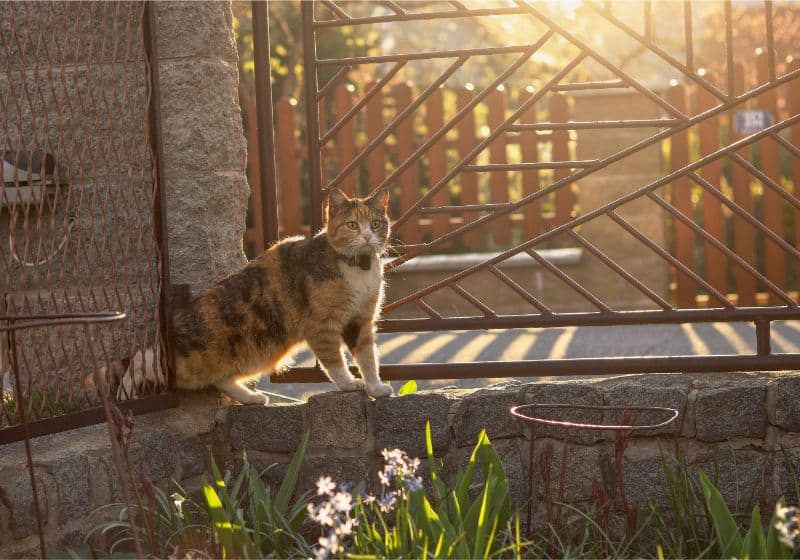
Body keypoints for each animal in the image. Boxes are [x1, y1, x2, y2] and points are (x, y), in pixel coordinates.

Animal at [115, 187, 394, 402]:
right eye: (352, 225)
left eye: (376, 223)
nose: (367, 235)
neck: (358, 268)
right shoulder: (322, 326)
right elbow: (334, 360)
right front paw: (348, 384)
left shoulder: (362, 320)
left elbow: (368, 358)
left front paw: (376, 388)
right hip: (197, 357)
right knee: (144, 358)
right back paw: (125, 391)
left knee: (220, 379)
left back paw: (251, 398)